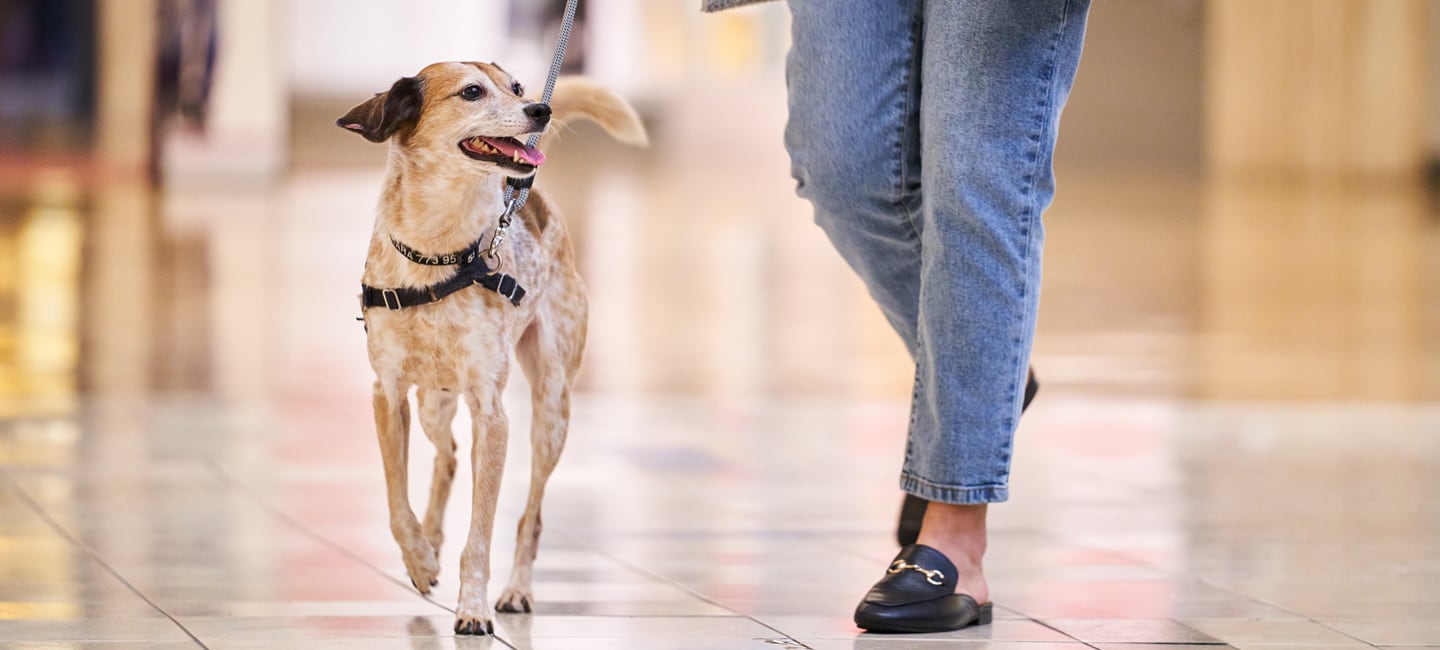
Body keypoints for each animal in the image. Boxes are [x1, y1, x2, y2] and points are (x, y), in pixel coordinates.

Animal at [336, 62, 642, 637]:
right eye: (472, 92)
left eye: (517, 87)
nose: (539, 109)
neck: (438, 254)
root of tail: (530, 197)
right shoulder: (387, 393)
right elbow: (396, 500)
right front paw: (420, 558)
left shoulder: (491, 412)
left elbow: (481, 532)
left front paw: (473, 605)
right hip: (432, 403)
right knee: (448, 456)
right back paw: (432, 540)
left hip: (552, 409)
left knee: (531, 515)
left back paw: (517, 590)